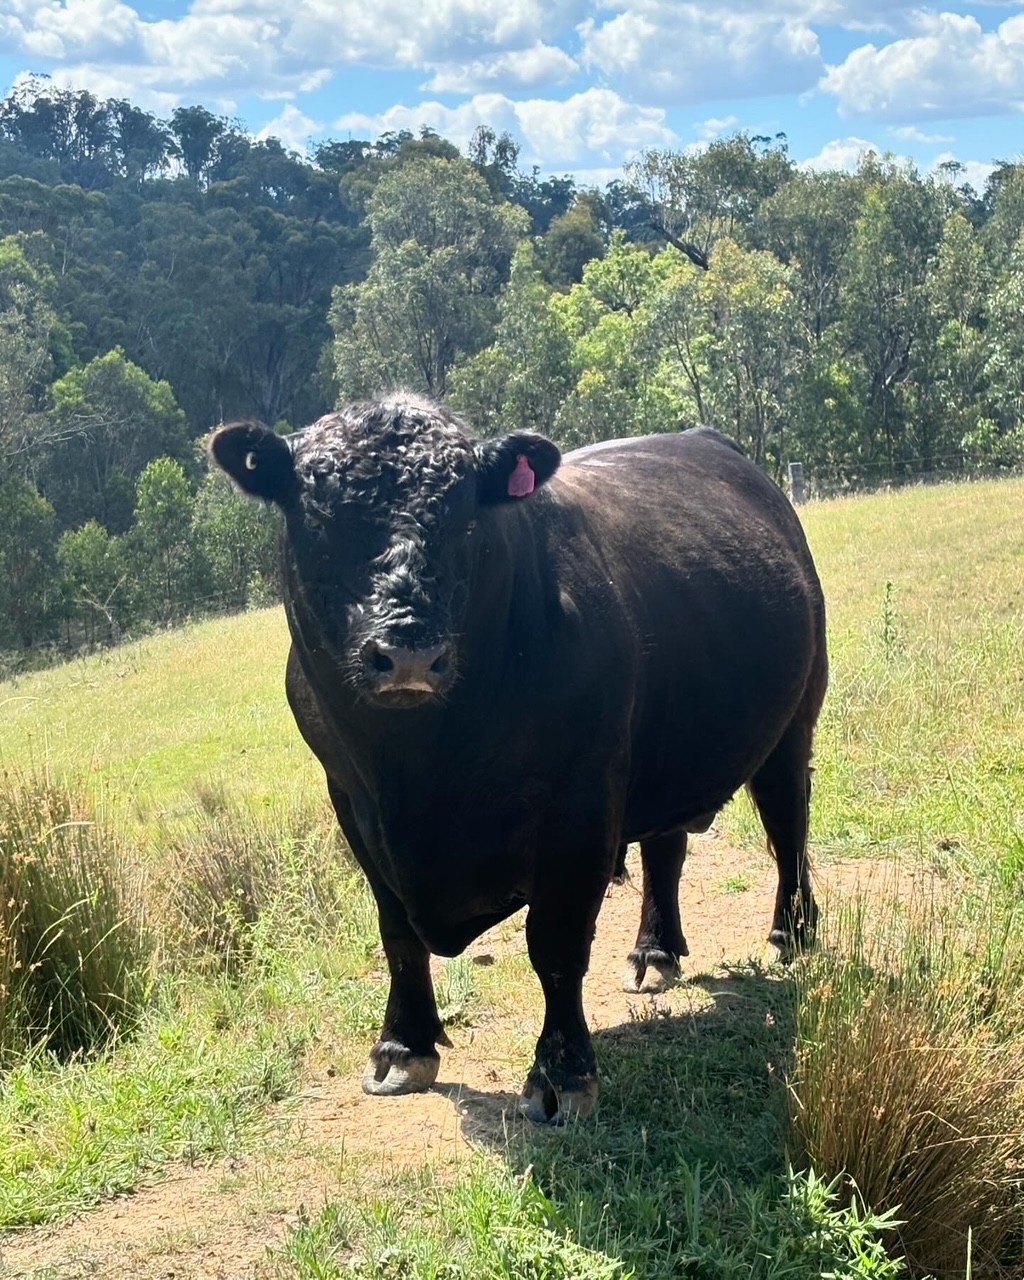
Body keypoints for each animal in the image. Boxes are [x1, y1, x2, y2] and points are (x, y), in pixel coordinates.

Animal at [211, 394, 827, 1125]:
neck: (418, 768)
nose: (409, 652)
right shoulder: (352, 802)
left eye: (466, 516)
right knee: (666, 848)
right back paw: (655, 951)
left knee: (787, 825)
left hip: (794, 720)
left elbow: (555, 943)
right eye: (319, 518)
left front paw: (562, 1073)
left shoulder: (578, 803)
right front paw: (402, 1046)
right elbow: (397, 933)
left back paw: (792, 933)